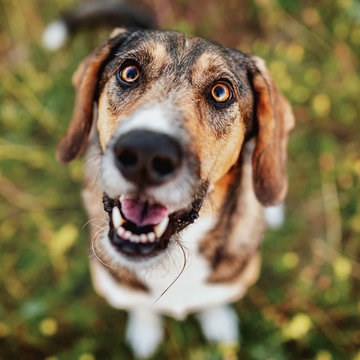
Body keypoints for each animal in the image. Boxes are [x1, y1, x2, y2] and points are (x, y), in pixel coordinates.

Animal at [52, 4, 296, 358]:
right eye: (129, 72)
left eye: (221, 92)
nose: (145, 153)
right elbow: (141, 307)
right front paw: (145, 331)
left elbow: (213, 302)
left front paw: (218, 323)